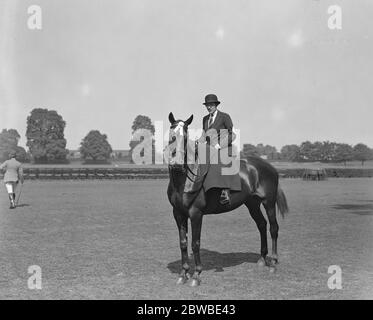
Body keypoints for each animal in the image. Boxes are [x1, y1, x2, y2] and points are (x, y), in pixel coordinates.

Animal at [166, 113, 288, 288]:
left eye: (186, 134)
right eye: (171, 133)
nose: (176, 161)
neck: (184, 179)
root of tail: (269, 166)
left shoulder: (196, 214)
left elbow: (195, 243)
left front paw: (196, 275)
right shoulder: (178, 214)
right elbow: (183, 243)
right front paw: (184, 274)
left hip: (268, 203)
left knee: (273, 228)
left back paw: (273, 263)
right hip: (252, 204)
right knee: (261, 224)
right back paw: (262, 259)